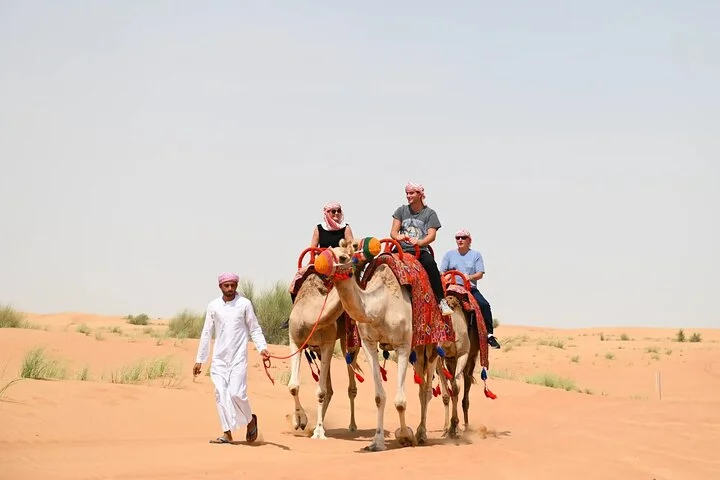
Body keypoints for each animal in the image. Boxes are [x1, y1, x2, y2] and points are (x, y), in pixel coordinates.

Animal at [287, 249, 362, 440]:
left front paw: (319, 432)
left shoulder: (327, 343)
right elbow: (293, 386)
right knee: (330, 388)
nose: (359, 259)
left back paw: (352, 425)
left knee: (350, 384)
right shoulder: (295, 340)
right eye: (342, 256)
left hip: (347, 343)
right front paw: (300, 420)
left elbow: (320, 391)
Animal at [315, 238, 452, 451]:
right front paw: (377, 441)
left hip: (431, 345)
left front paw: (405, 436)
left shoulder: (403, 345)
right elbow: (379, 397)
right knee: (422, 385)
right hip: (417, 351)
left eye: (343, 257)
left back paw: (421, 434)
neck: (381, 306)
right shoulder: (369, 344)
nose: (319, 266)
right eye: (324, 252)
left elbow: (400, 401)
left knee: (427, 390)